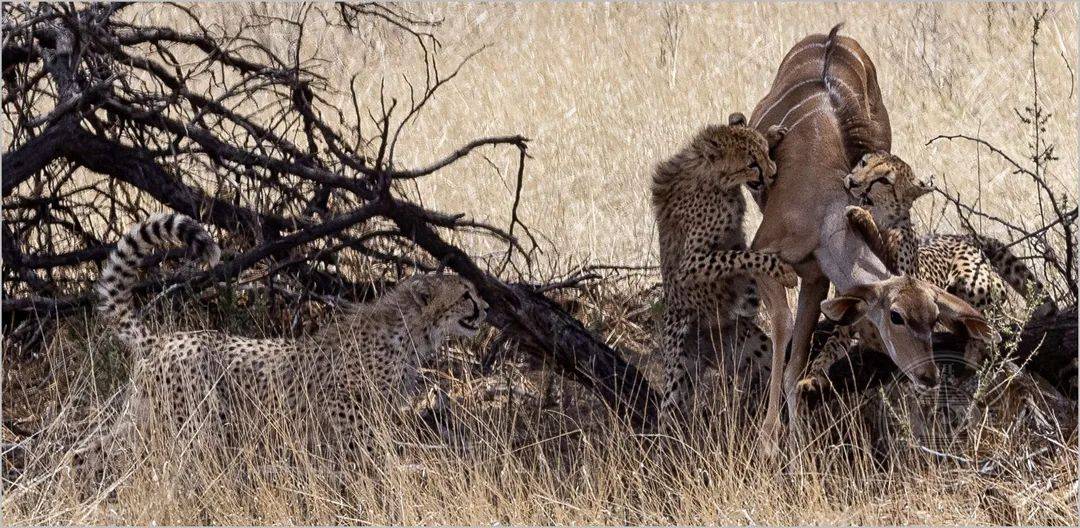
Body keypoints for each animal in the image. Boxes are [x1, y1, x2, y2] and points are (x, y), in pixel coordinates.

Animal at [68, 211, 490, 483]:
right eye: (465, 295)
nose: (486, 308)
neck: (412, 330)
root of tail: (162, 339)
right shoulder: (344, 409)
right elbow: (367, 454)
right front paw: (400, 472)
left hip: (146, 415)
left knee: (88, 450)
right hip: (194, 420)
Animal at [648, 113, 803, 421]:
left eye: (765, 154)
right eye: (751, 164)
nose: (772, 174)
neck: (716, 179)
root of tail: (711, 352)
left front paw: (769, 133)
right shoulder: (691, 265)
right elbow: (744, 255)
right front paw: (782, 270)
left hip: (757, 351)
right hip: (678, 375)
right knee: (668, 414)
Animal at [747, 24, 989, 453]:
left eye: (933, 317)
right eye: (896, 316)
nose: (928, 376)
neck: (822, 208)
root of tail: (833, 36)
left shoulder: (815, 277)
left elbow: (797, 362)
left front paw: (798, 446)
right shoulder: (763, 255)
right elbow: (782, 328)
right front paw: (770, 440)